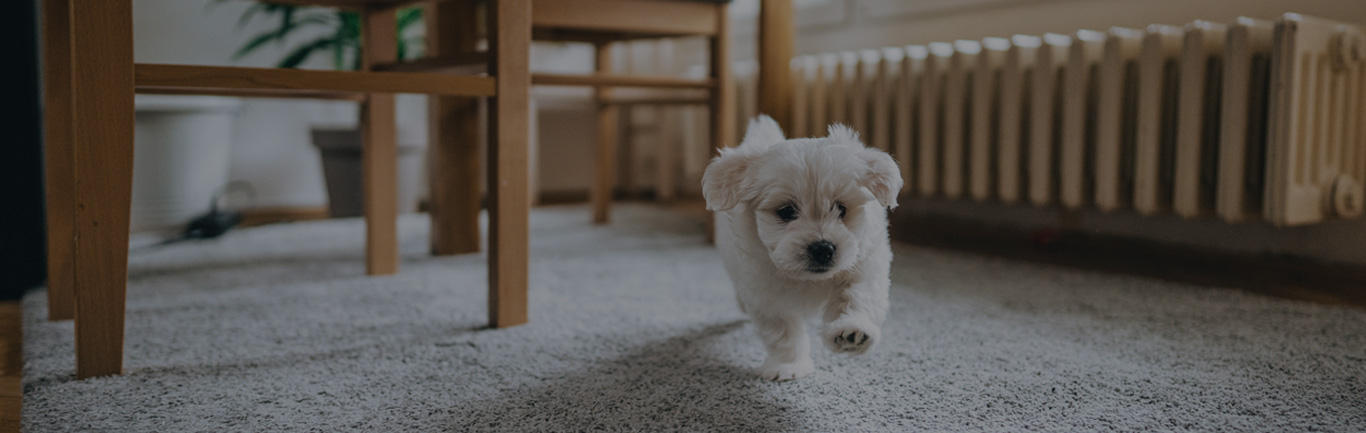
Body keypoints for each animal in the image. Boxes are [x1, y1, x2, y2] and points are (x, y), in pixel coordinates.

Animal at [704, 115, 907, 379]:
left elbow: (858, 296)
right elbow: (782, 332)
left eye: (841, 209)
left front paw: (852, 331)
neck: (809, 279)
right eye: (787, 211)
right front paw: (787, 366)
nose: (823, 248)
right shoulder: (766, 293)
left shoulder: (864, 264)